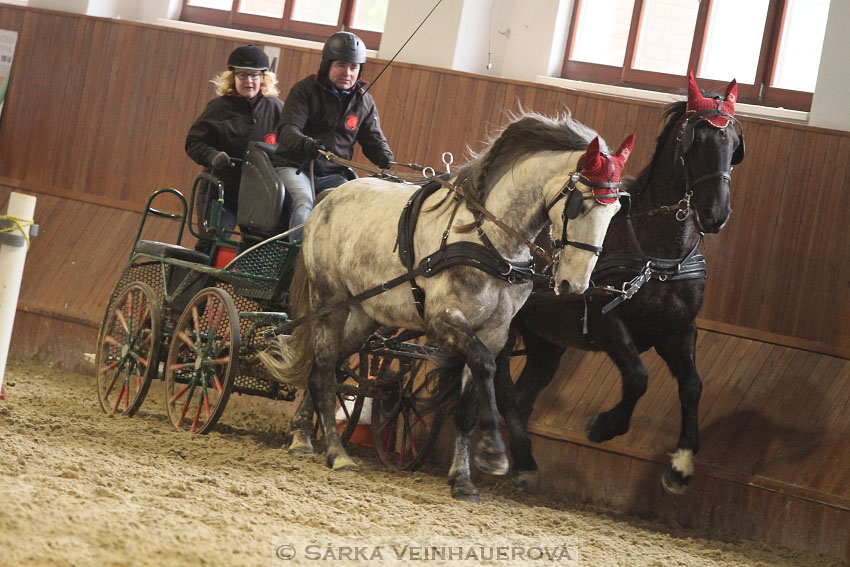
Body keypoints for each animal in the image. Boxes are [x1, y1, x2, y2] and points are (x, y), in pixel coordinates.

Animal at [490, 73, 744, 494]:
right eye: (696, 140)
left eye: (733, 145)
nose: (715, 213)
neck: (659, 254)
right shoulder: (607, 320)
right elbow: (638, 378)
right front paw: (603, 426)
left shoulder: (678, 330)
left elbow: (692, 385)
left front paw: (681, 465)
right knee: (500, 386)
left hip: (546, 342)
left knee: (523, 394)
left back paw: (519, 461)